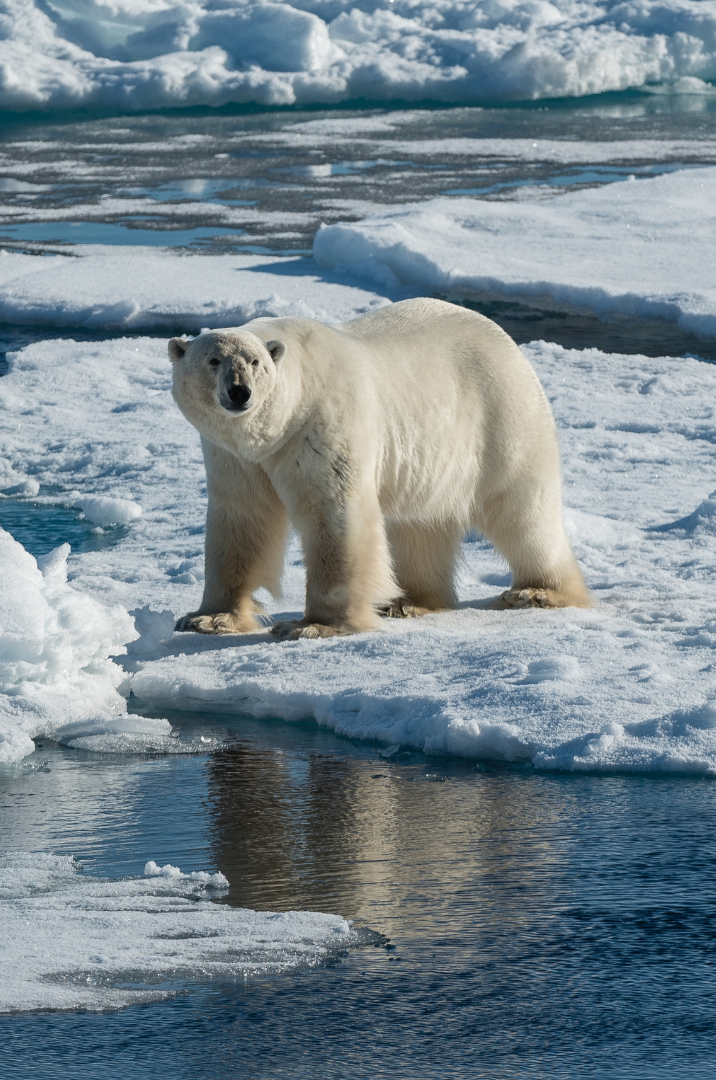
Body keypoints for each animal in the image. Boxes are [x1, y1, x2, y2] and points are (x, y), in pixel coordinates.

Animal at [168, 297, 589, 640]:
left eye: (255, 363)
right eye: (213, 361)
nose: (240, 392)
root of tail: (505, 340)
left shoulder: (321, 426)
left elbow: (335, 516)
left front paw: (313, 625)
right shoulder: (235, 458)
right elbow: (242, 519)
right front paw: (208, 618)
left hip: (501, 417)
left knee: (522, 511)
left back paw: (537, 591)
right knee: (421, 523)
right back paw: (410, 601)